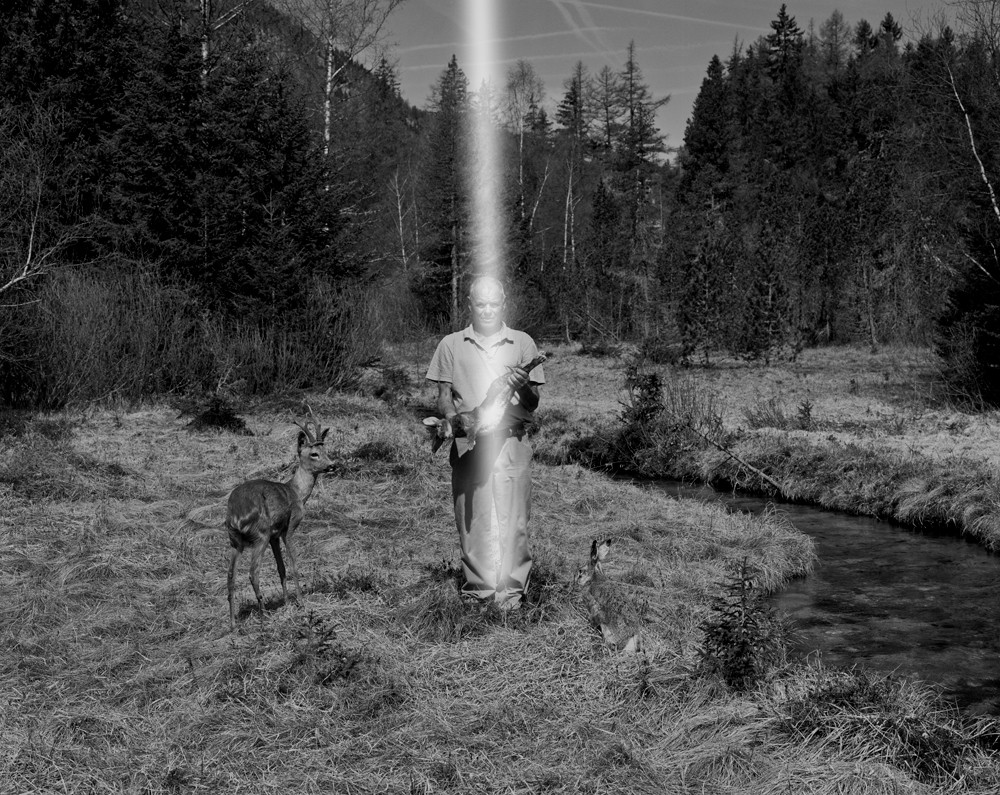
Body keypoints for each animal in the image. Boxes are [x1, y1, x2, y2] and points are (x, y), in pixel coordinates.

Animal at [227, 410, 336, 628]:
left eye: (326, 450)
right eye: (314, 454)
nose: (332, 465)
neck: (297, 493)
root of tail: (235, 514)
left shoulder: (274, 536)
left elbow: (281, 568)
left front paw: (286, 602)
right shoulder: (289, 528)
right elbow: (293, 564)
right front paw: (301, 602)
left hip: (236, 540)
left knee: (230, 575)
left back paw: (233, 623)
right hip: (259, 534)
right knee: (253, 572)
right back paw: (263, 615)